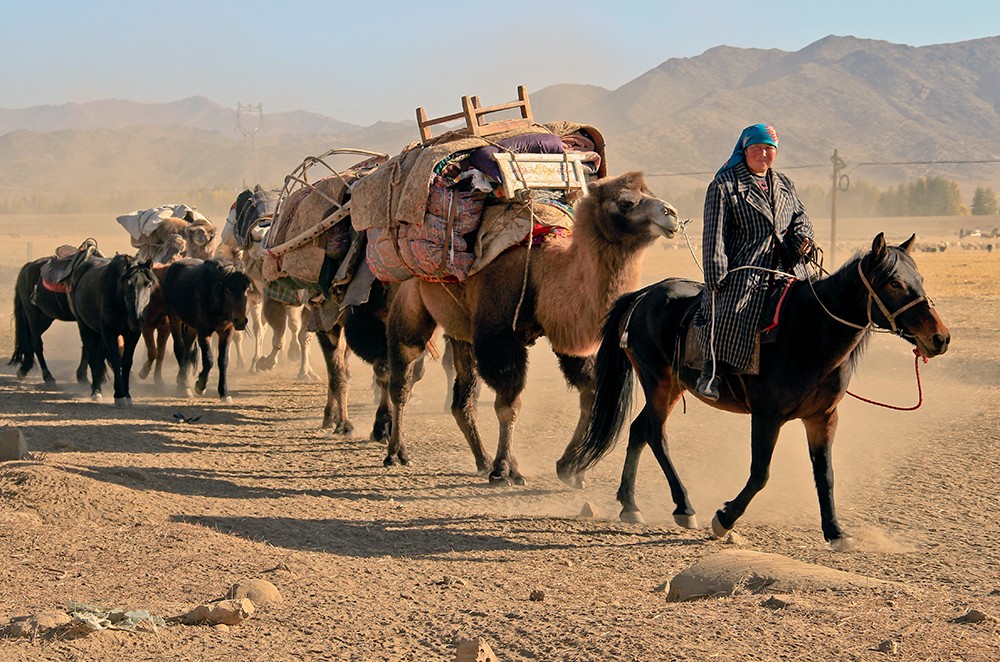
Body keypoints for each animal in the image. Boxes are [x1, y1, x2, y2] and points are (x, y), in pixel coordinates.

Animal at [70, 254, 158, 408]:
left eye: (148, 284)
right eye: (127, 284)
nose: (136, 320)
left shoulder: (133, 334)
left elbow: (126, 362)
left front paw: (127, 394)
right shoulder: (110, 332)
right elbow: (116, 360)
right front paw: (119, 395)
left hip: (100, 334)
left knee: (99, 357)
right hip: (86, 328)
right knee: (92, 357)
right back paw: (96, 391)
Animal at [162, 260, 252, 404]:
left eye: (246, 289)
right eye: (227, 290)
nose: (241, 320)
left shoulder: (227, 332)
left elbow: (223, 361)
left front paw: (224, 393)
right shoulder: (204, 332)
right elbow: (209, 360)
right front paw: (200, 385)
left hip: (192, 327)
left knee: (188, 349)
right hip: (174, 316)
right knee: (180, 348)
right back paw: (184, 386)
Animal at [382, 171, 680, 482]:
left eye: (650, 193)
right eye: (625, 202)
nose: (671, 213)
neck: (542, 269)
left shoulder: (567, 337)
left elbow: (589, 392)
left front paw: (569, 467)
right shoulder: (499, 336)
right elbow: (508, 405)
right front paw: (504, 470)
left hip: (460, 330)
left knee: (461, 399)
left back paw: (482, 460)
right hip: (408, 301)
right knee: (402, 377)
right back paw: (396, 453)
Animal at [556, 236, 952, 548]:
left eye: (919, 279)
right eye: (896, 283)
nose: (940, 338)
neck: (809, 332)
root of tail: (643, 295)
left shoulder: (822, 418)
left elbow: (825, 475)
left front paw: (836, 532)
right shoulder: (766, 416)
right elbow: (760, 473)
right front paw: (724, 518)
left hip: (671, 387)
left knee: (640, 430)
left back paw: (630, 505)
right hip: (657, 381)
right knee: (655, 434)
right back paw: (684, 507)